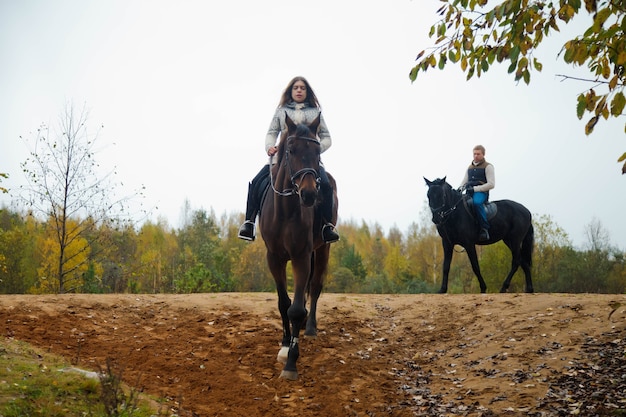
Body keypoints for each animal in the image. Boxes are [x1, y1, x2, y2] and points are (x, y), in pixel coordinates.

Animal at [258, 112, 336, 378]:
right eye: (291, 150)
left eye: (318, 151)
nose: (309, 194)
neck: (286, 211)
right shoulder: (274, 258)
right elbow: (284, 304)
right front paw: (284, 346)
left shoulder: (301, 257)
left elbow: (297, 308)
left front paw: (291, 362)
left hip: (322, 249)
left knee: (316, 286)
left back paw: (309, 328)